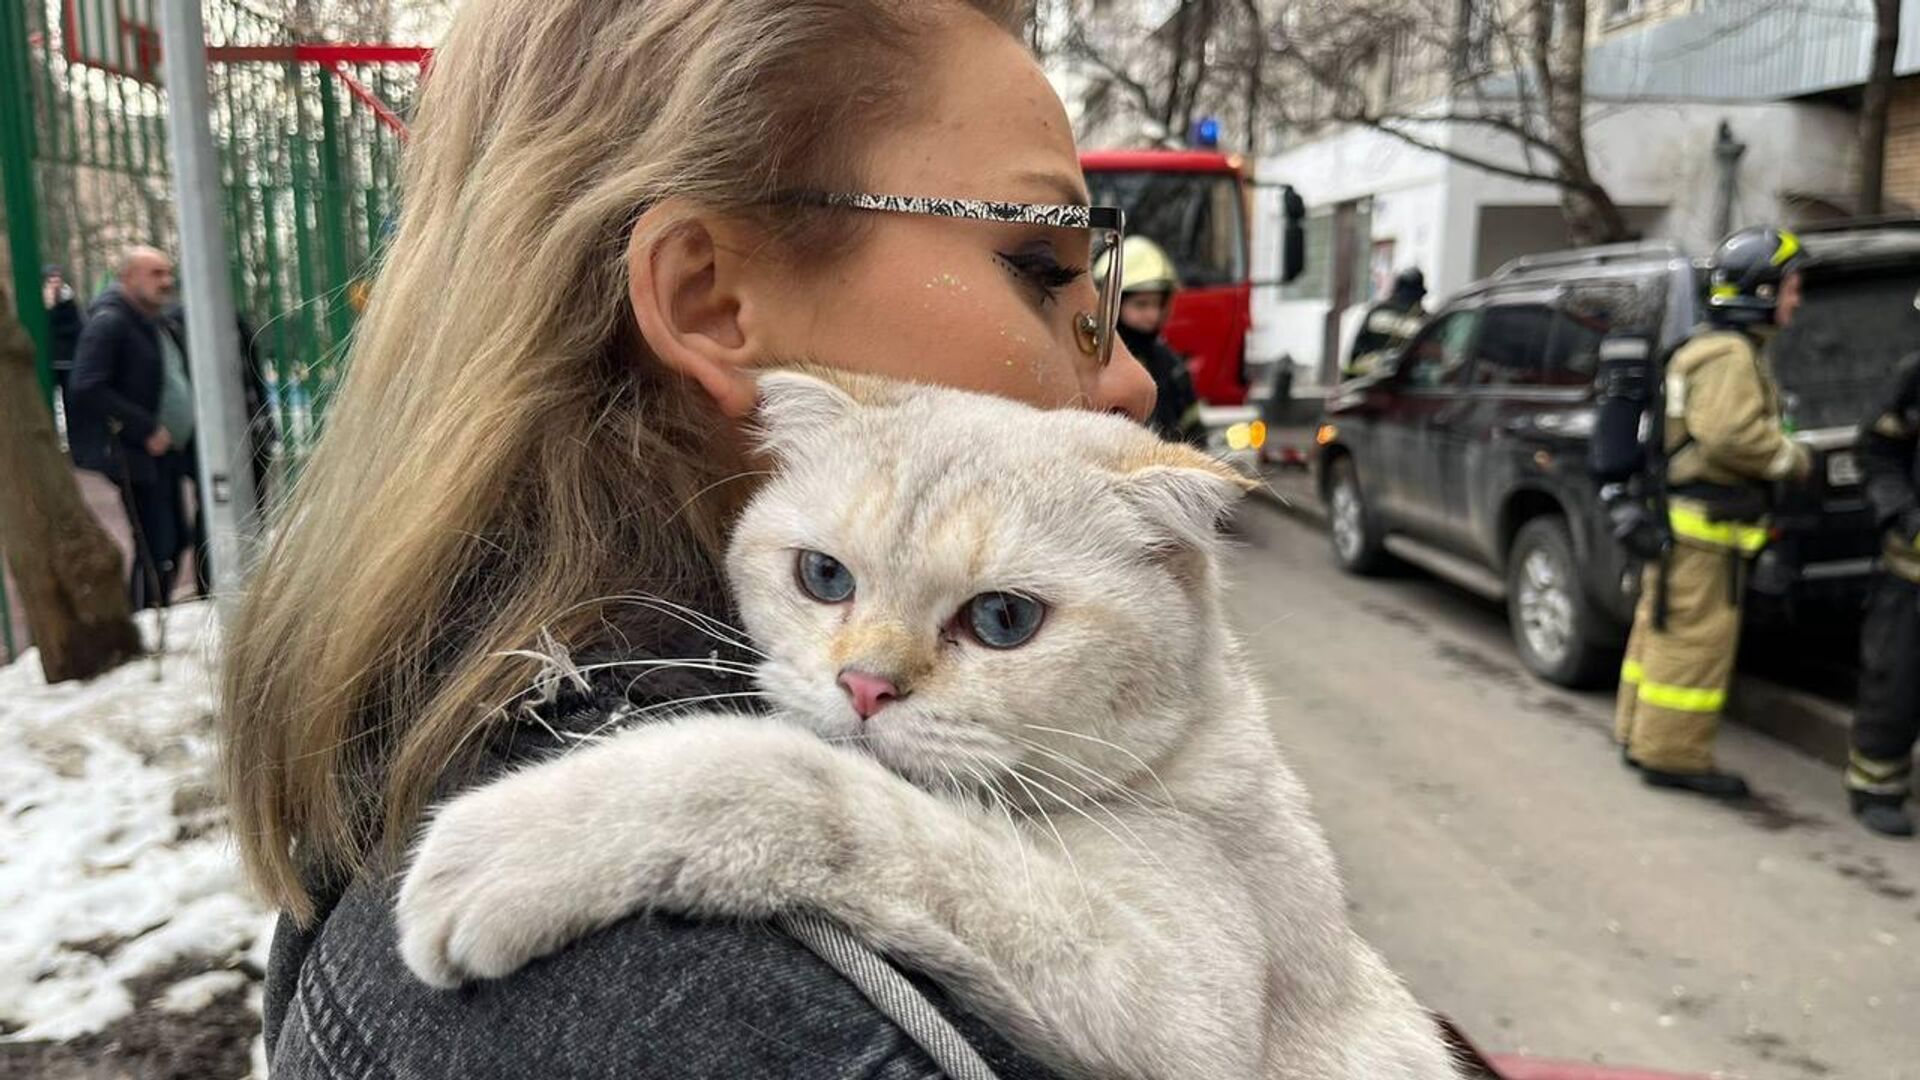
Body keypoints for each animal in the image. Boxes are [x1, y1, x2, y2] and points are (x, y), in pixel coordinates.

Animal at [401, 372, 1451, 1076]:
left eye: (1004, 621)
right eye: (824, 577)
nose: (865, 687)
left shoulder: (1183, 1009)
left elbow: (808, 789)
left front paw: (519, 844)